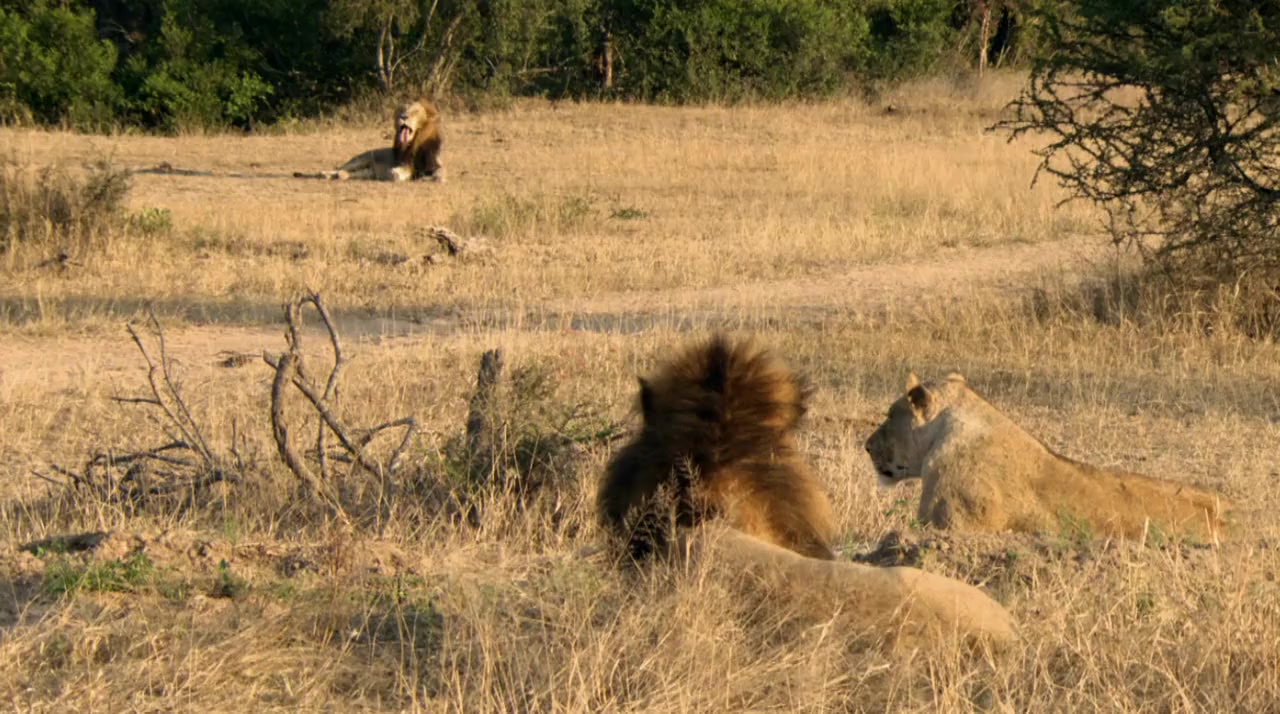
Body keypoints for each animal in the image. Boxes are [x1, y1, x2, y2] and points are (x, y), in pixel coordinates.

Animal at [295, 100, 443, 182]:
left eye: (415, 111)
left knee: (348, 174)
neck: (415, 143)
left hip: (367, 172)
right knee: (339, 169)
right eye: (401, 110)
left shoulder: (435, 164)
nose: (403, 116)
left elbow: (439, 176)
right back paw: (325, 174)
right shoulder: (403, 164)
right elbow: (395, 174)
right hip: (360, 160)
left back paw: (338, 176)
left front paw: (426, 177)